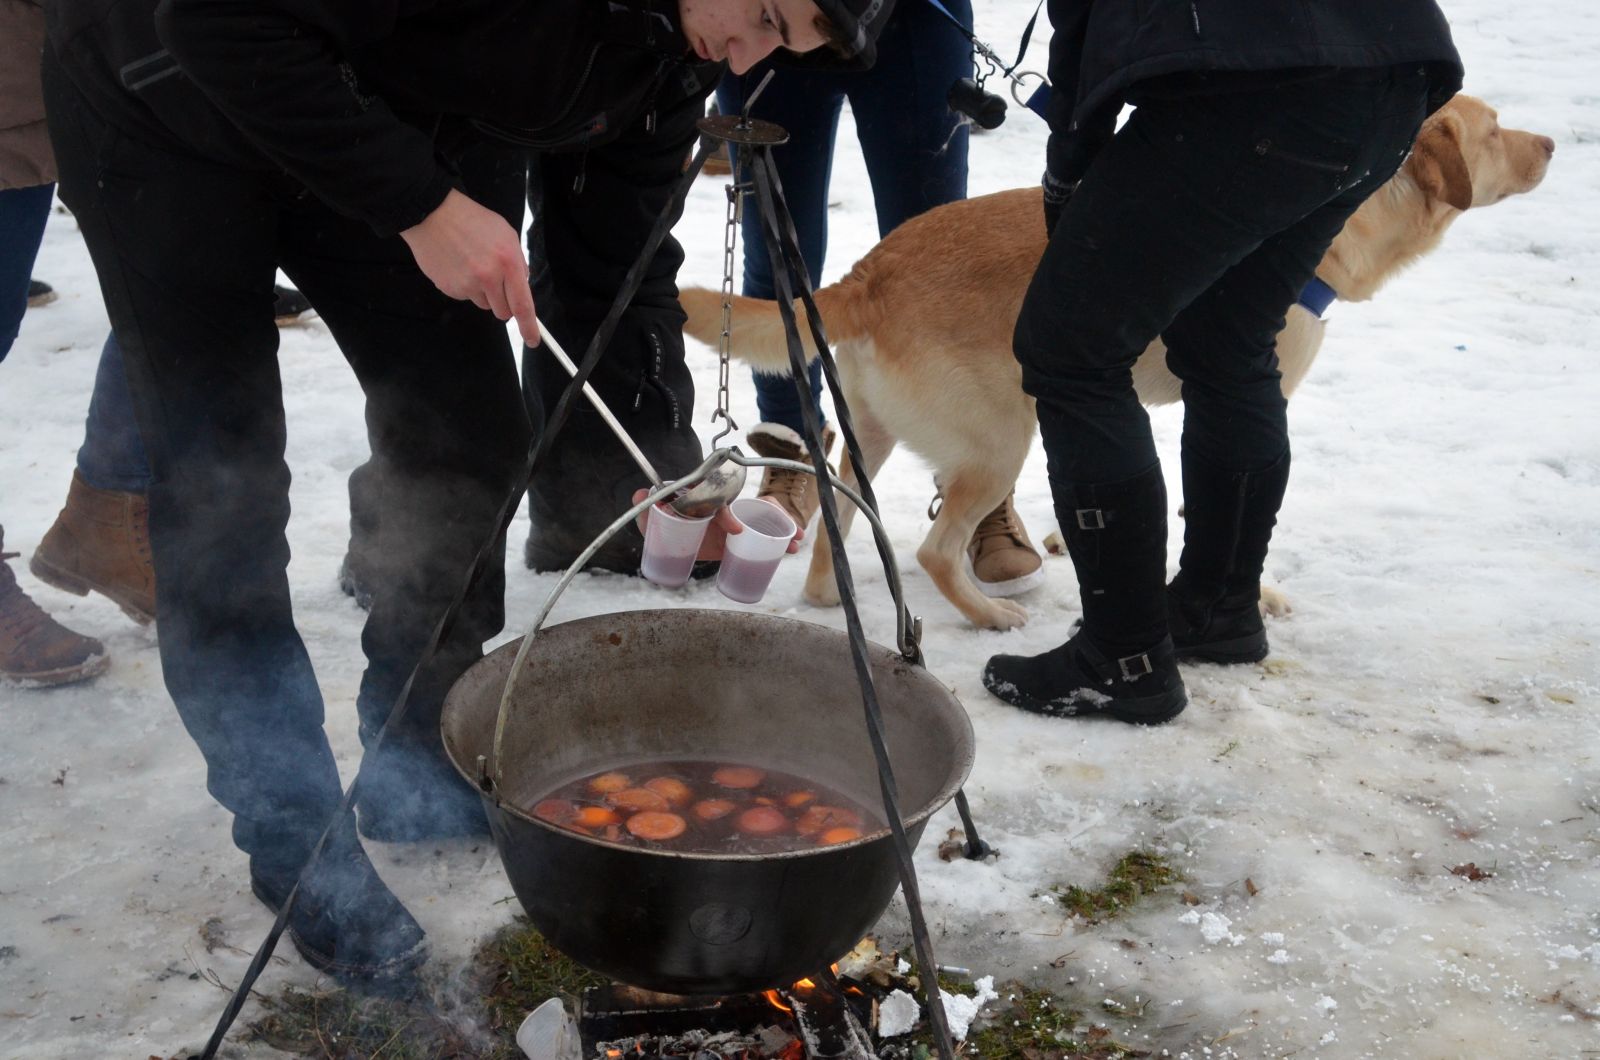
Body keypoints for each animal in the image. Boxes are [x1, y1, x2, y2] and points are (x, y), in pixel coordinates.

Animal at [684, 95, 1548, 627]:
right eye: (1497, 129)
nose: (1552, 144)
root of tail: (869, 272)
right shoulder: (1242, 393)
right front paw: (1252, 596)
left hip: (875, 434)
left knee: (838, 523)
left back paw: (832, 601)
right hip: (1003, 441)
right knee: (934, 550)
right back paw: (987, 616)